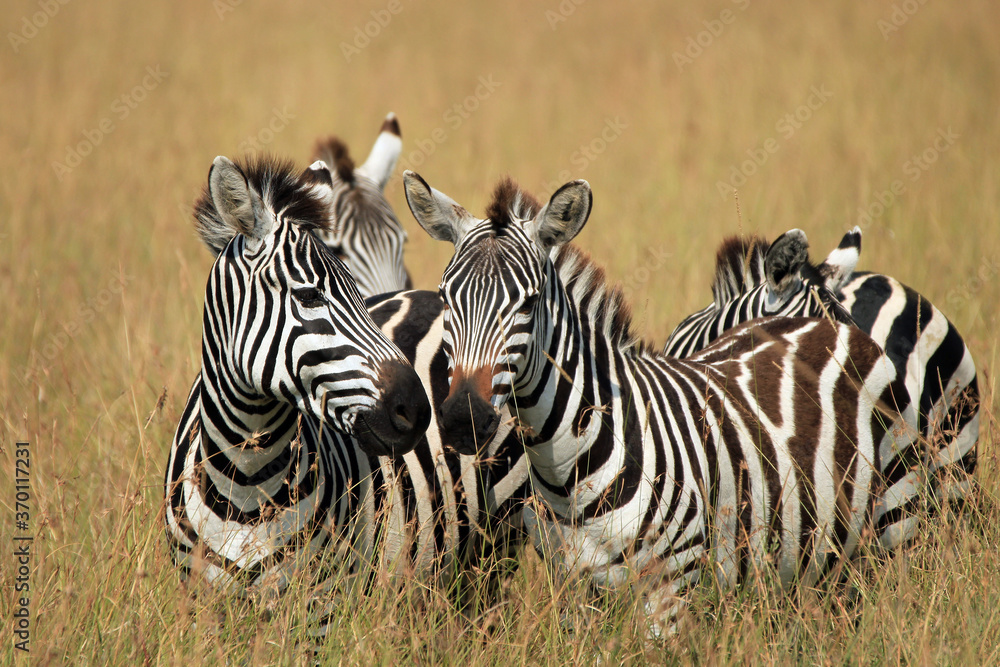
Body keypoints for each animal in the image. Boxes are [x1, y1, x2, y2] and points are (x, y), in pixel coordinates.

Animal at [164, 155, 431, 613]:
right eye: (308, 297)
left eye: (359, 295)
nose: (416, 409)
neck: (246, 485)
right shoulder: (200, 603)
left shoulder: (319, 604)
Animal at [401, 171, 921, 634]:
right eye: (445, 298)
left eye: (528, 304)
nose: (462, 418)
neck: (568, 473)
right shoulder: (576, 595)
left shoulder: (671, 593)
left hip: (890, 531)